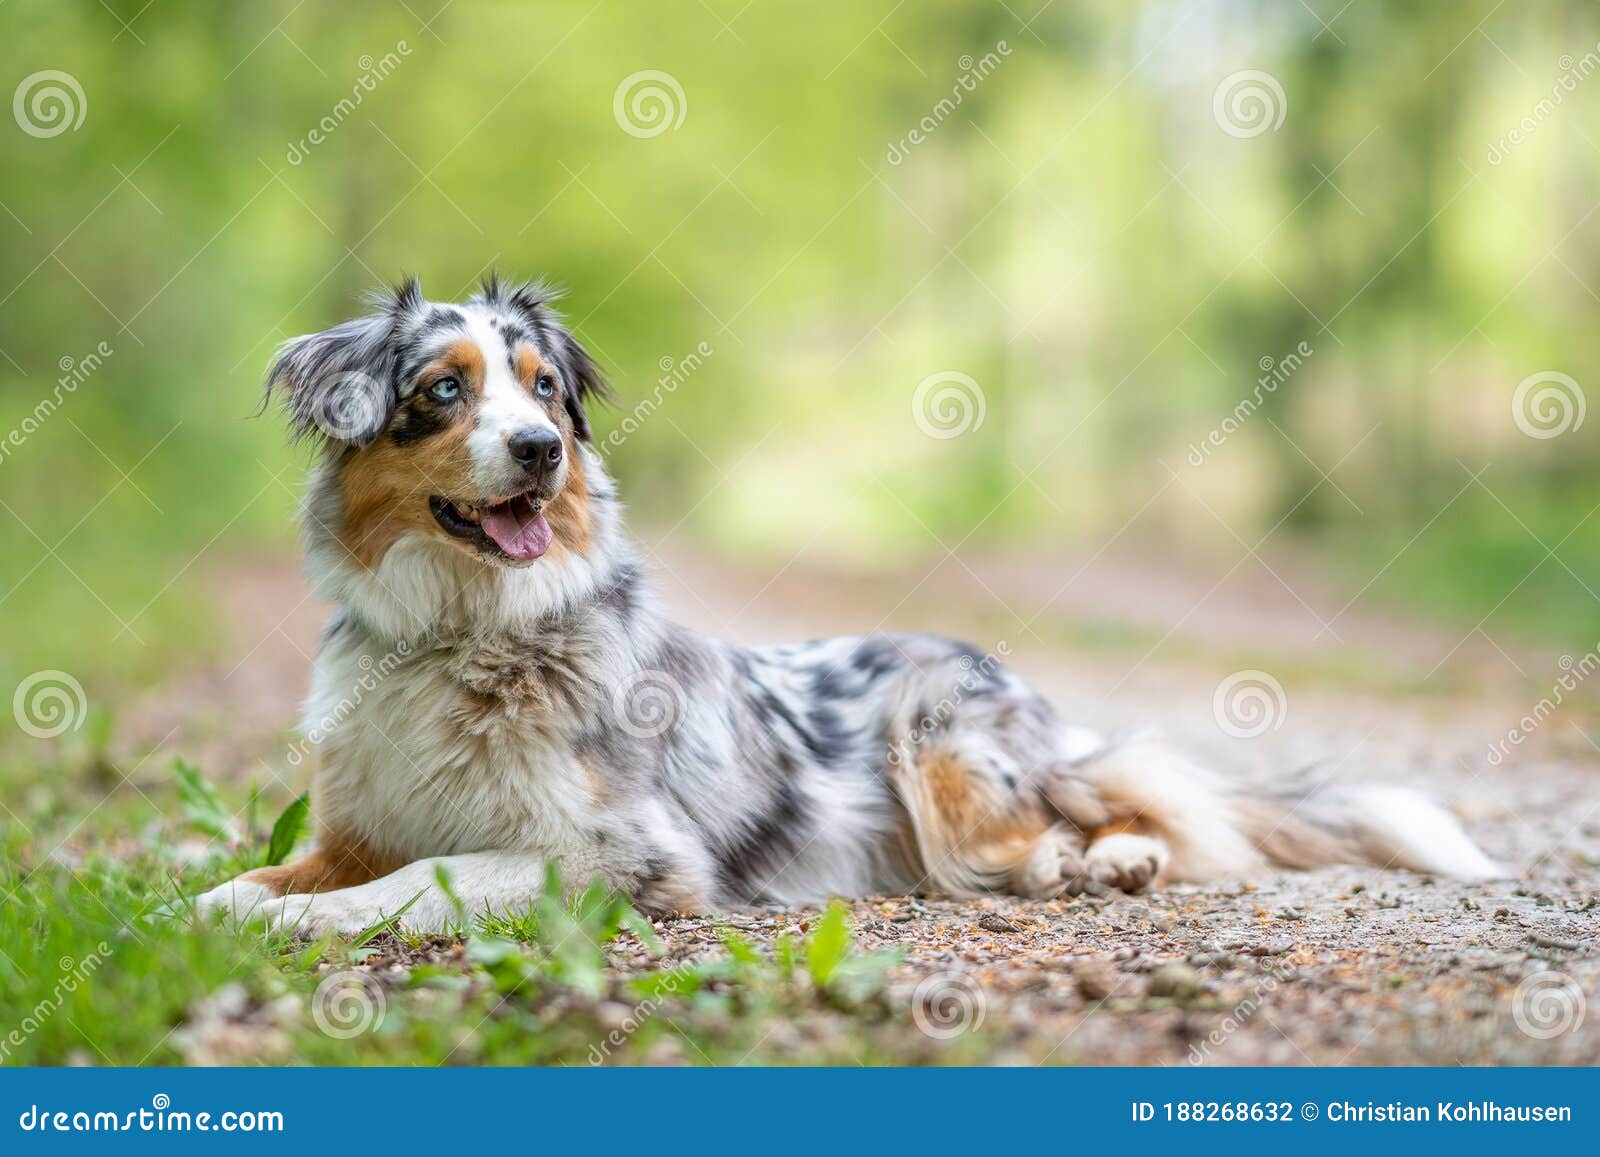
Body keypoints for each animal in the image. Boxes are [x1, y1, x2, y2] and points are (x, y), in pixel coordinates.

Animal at [193, 280, 1504, 940]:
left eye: (544, 388)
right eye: (441, 390)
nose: (539, 451)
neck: (460, 627)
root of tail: (1021, 689)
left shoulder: (626, 851)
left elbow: (433, 875)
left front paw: (314, 922)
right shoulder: (357, 822)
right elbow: (271, 873)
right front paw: (202, 904)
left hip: (938, 738)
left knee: (1098, 820)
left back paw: (1105, 858)